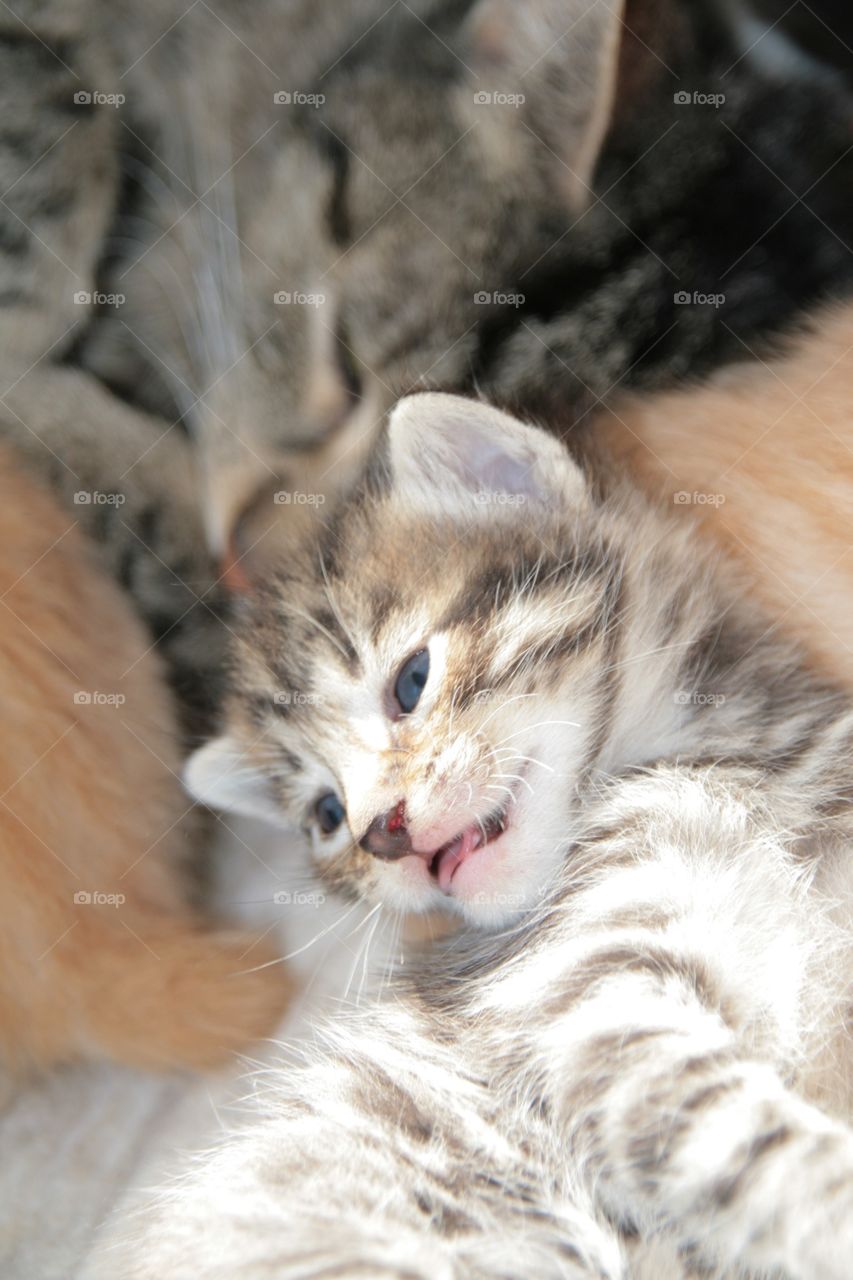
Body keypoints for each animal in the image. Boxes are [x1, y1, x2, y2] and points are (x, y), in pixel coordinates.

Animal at [114, 391, 850, 1280]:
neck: (738, 763)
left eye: (410, 682)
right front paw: (831, 1201)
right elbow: (745, 1144)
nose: (381, 832)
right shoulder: (583, 1005)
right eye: (324, 815)